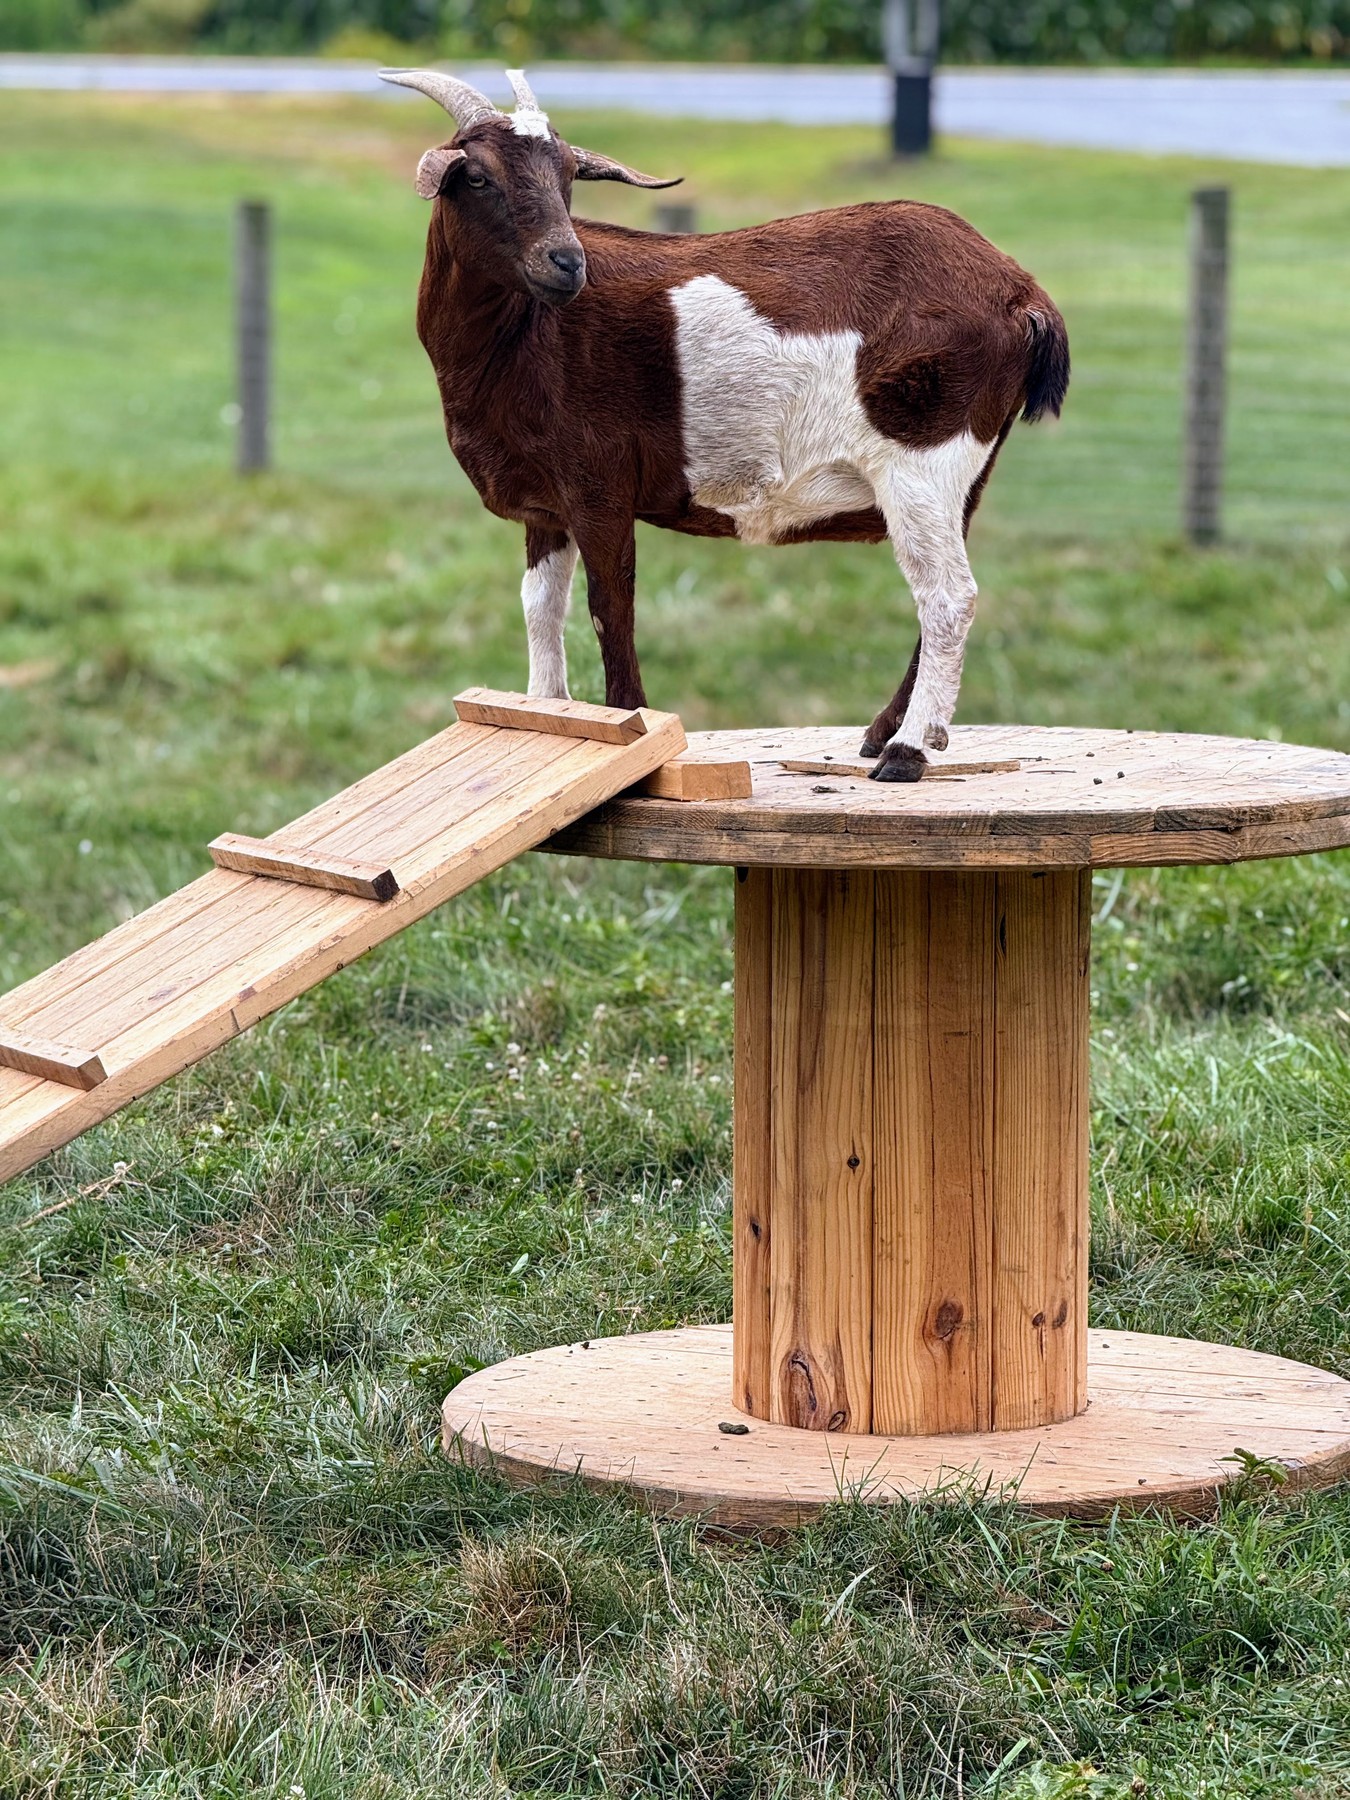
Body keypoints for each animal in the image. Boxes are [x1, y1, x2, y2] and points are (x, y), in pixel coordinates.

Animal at [380, 67, 1069, 780]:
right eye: (477, 176)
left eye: (569, 173)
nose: (567, 262)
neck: (522, 335)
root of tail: (1023, 296)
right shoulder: (547, 507)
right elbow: (541, 605)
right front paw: (545, 715)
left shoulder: (599, 485)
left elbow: (610, 605)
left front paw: (634, 730)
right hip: (964, 476)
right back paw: (886, 733)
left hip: (922, 457)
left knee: (947, 597)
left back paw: (905, 752)